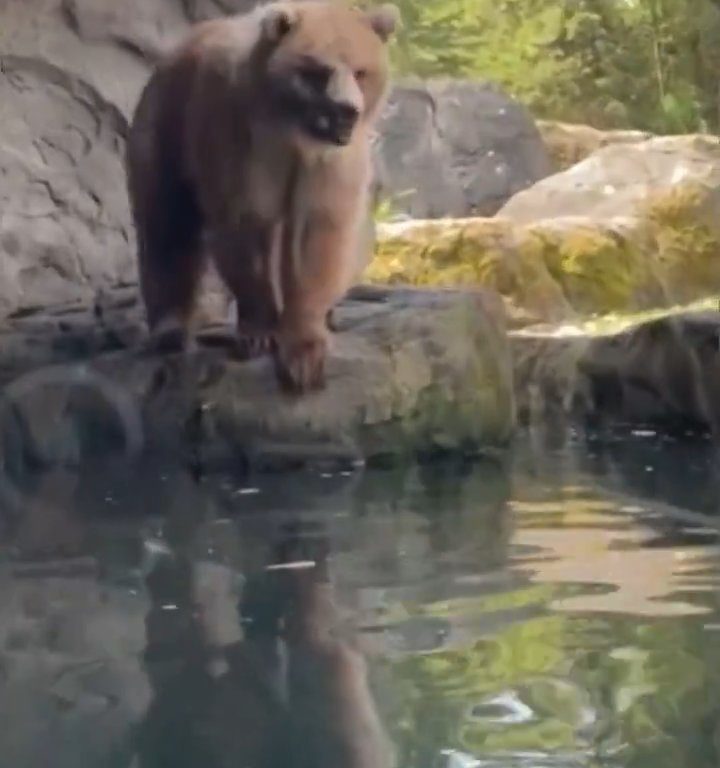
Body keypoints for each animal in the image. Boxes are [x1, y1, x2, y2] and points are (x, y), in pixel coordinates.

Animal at [127, 0, 402, 388]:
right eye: (317, 71)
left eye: (361, 71)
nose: (347, 111)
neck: (291, 131)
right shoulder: (236, 133)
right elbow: (245, 221)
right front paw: (260, 332)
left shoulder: (331, 162)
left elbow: (316, 233)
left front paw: (304, 351)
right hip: (165, 123)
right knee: (166, 220)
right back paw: (170, 330)